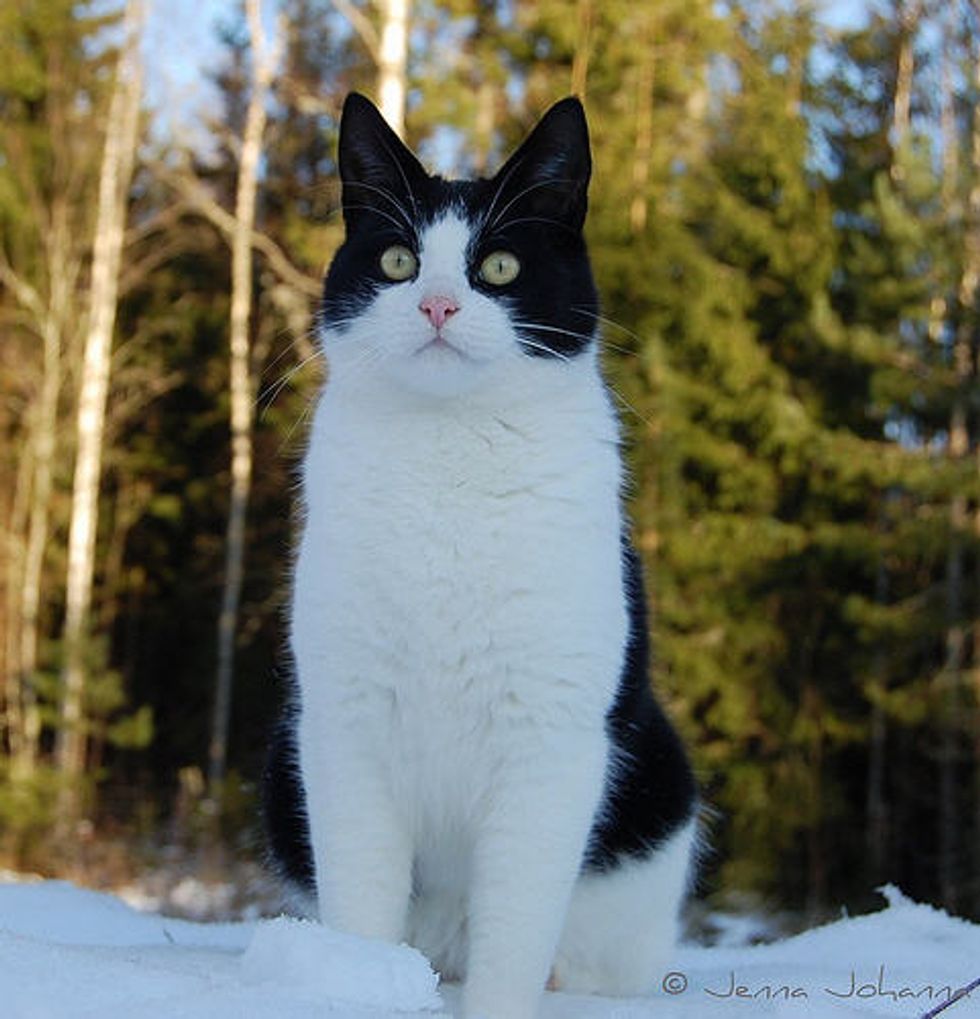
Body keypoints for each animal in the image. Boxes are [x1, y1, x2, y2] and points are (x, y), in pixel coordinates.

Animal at [262, 93, 700, 1019]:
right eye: (397, 260)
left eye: (498, 266)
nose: (435, 306)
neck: (448, 456)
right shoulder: (344, 720)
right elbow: (362, 900)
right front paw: (365, 989)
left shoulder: (552, 739)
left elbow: (514, 934)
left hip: (658, 788)